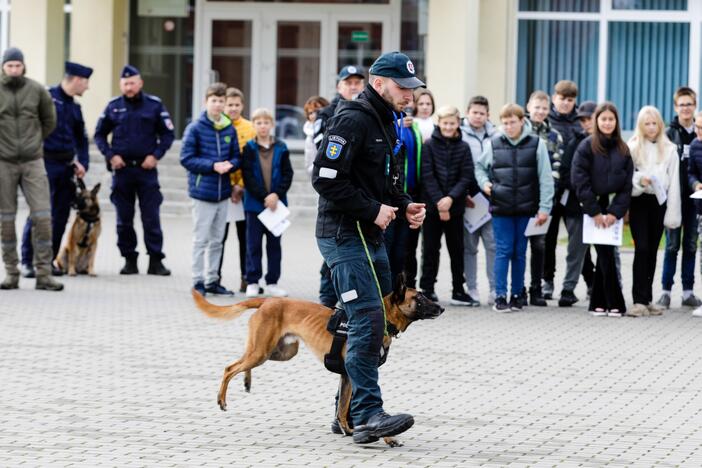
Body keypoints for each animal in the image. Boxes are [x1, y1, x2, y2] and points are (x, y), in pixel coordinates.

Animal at [191, 278, 446, 446]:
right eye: (419, 297)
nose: (441, 308)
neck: (383, 318)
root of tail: (268, 301)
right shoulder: (359, 372)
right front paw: (388, 435)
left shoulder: (347, 377)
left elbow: (342, 408)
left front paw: (348, 430)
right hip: (262, 351)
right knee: (229, 368)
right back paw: (222, 400)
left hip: (278, 352)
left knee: (243, 363)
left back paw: (246, 380)